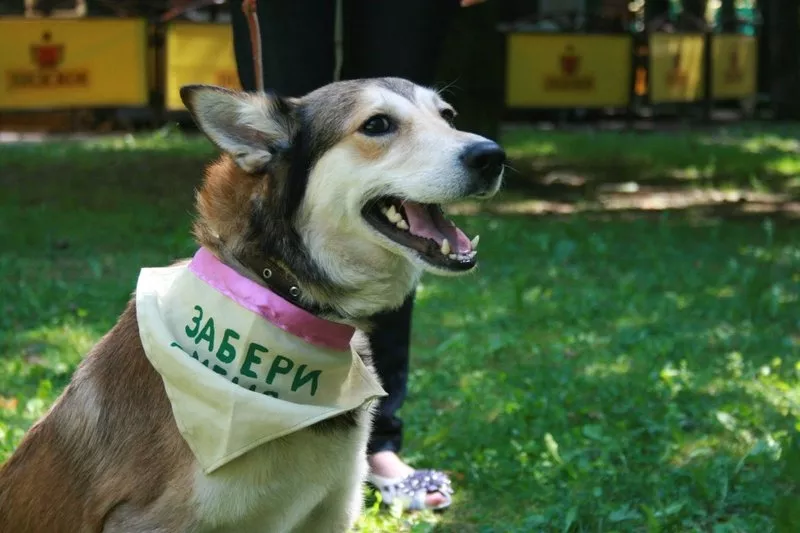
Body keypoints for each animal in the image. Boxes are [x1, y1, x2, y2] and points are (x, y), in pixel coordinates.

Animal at [0, 76, 504, 532]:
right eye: (377, 124)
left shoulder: (331, 510)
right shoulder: (147, 521)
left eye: (448, 116)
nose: (492, 156)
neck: (279, 292)